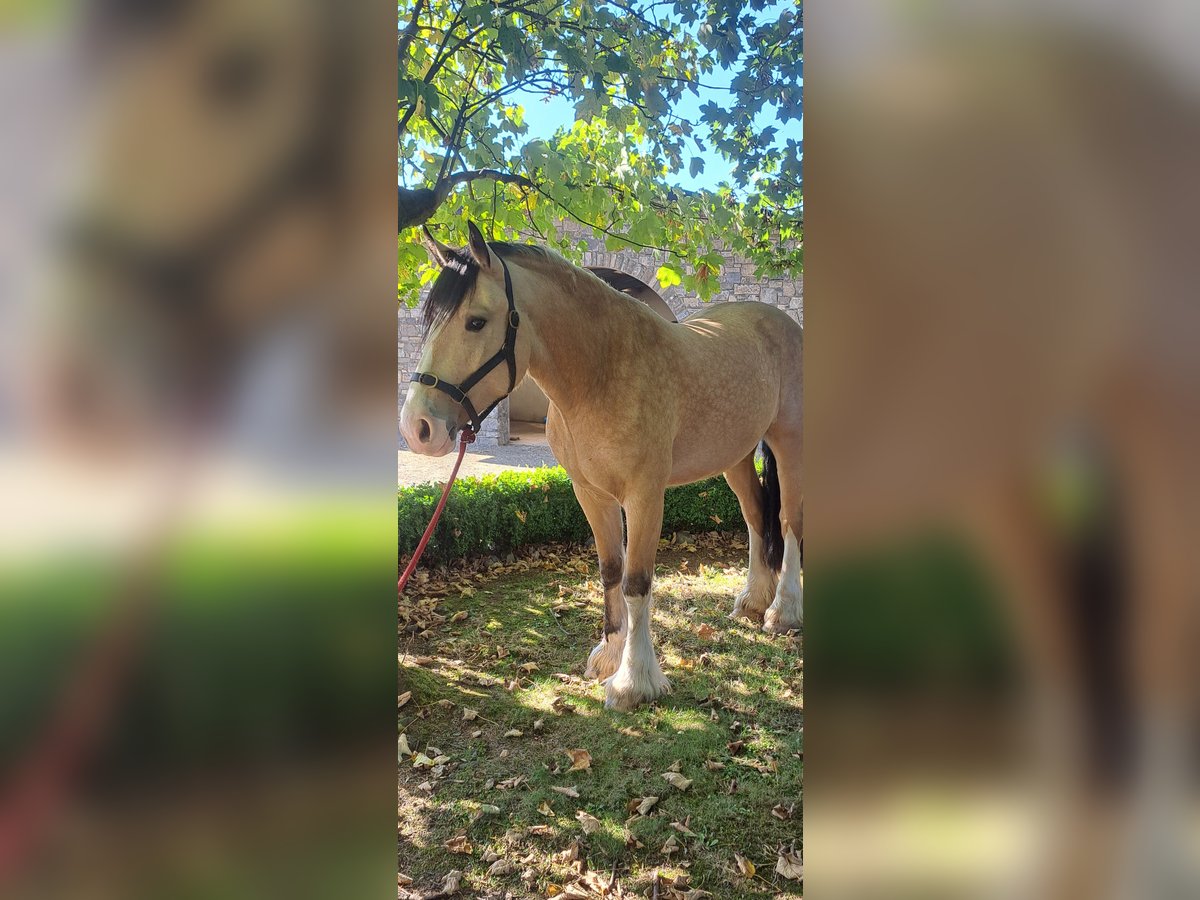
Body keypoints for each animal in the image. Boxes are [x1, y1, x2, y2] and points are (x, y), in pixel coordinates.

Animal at [403, 224, 806, 710]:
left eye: (476, 321)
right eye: (428, 321)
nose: (417, 427)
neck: (602, 373)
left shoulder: (645, 495)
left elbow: (636, 582)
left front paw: (634, 681)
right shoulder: (589, 492)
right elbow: (611, 570)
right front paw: (609, 657)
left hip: (789, 444)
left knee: (787, 521)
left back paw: (783, 611)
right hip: (736, 455)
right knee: (755, 517)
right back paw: (752, 602)